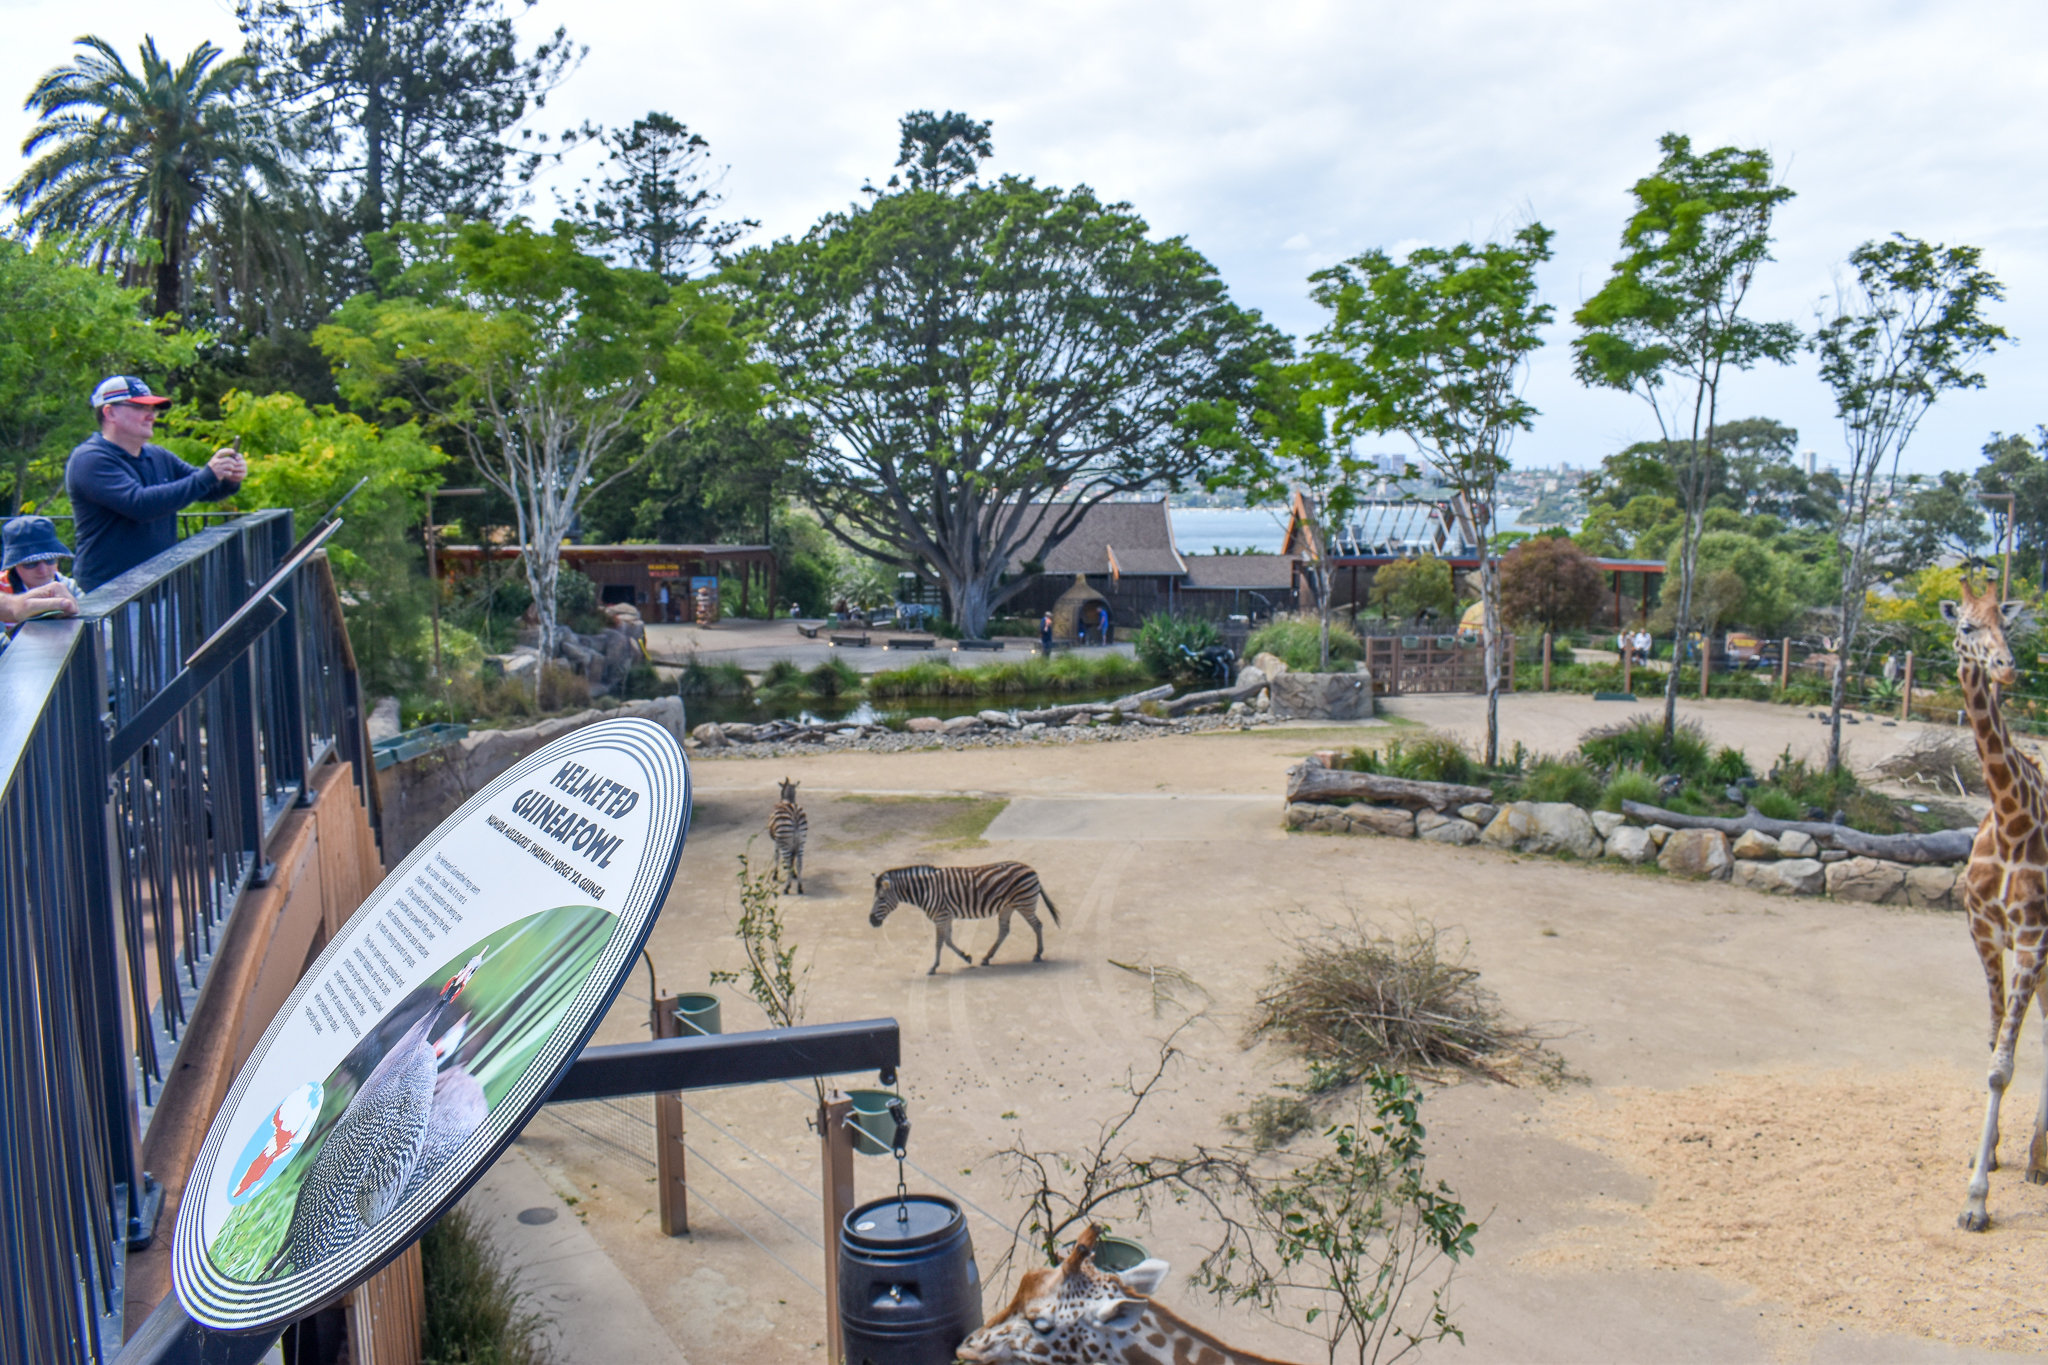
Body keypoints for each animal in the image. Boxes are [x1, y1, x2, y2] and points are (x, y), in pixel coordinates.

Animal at [869, 862, 1060, 974]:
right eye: (875, 897)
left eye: (881, 898)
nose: (871, 920)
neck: (926, 891)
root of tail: (1032, 870)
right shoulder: (946, 917)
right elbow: (947, 940)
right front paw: (966, 957)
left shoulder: (941, 916)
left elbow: (939, 942)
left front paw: (933, 967)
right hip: (1008, 907)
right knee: (1004, 930)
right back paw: (987, 957)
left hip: (1024, 904)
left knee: (1038, 925)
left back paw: (1037, 954)